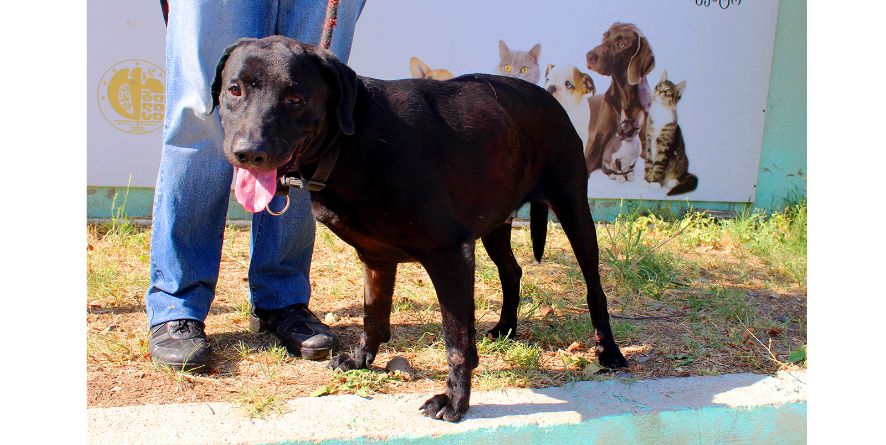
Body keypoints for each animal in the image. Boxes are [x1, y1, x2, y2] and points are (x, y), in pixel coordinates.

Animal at [213, 36, 632, 422]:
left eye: (295, 98)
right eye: (235, 89)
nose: (249, 152)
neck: (352, 141)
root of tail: (546, 95)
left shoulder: (451, 254)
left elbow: (456, 341)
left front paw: (455, 401)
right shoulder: (375, 258)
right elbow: (374, 316)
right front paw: (361, 359)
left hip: (574, 211)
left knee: (594, 288)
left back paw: (609, 351)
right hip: (495, 220)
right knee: (512, 271)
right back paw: (506, 328)